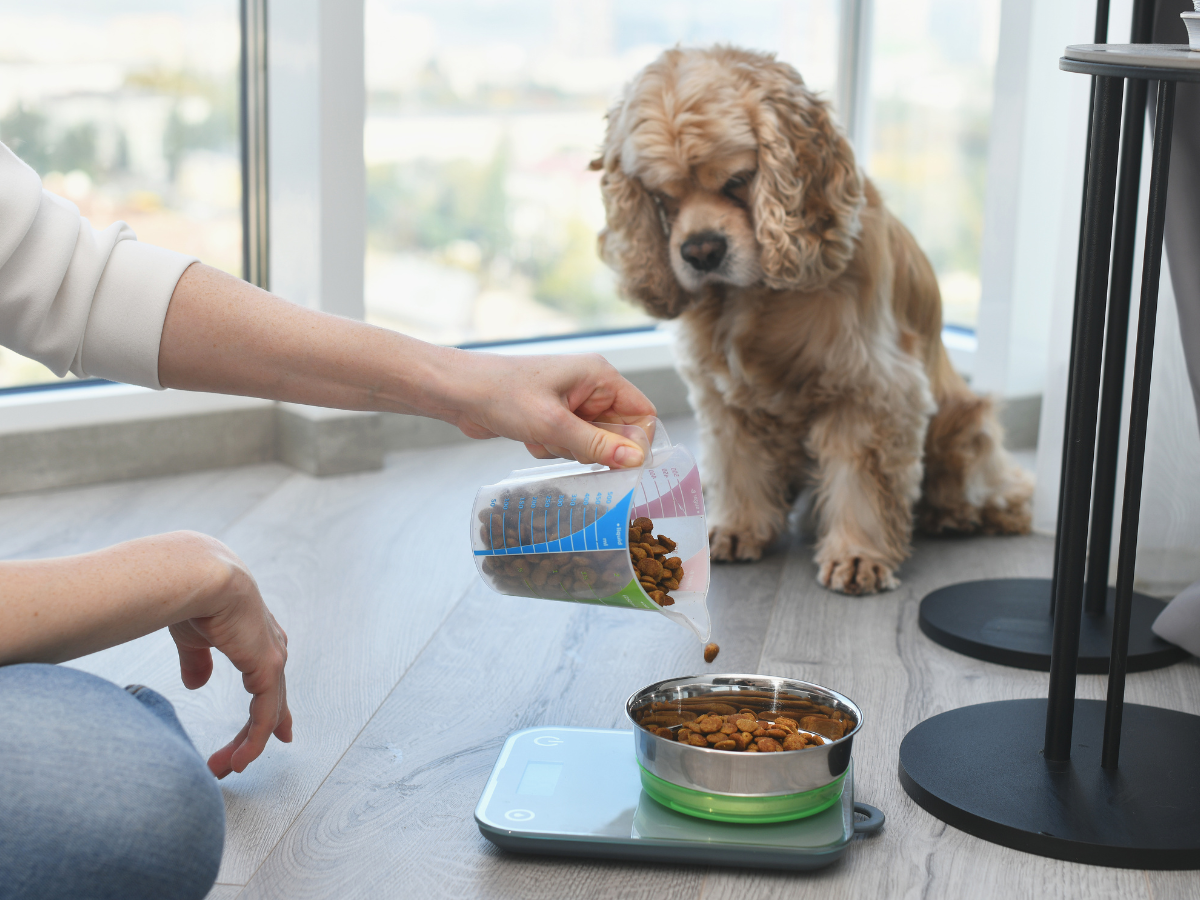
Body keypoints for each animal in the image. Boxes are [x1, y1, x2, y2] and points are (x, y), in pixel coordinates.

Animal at [590, 47, 1032, 600]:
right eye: (662, 194)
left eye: (737, 180)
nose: (701, 252)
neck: (758, 293)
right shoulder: (722, 390)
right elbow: (736, 460)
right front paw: (737, 527)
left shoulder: (870, 389)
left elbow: (862, 480)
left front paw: (858, 556)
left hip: (965, 422)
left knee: (1000, 486)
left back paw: (961, 513)